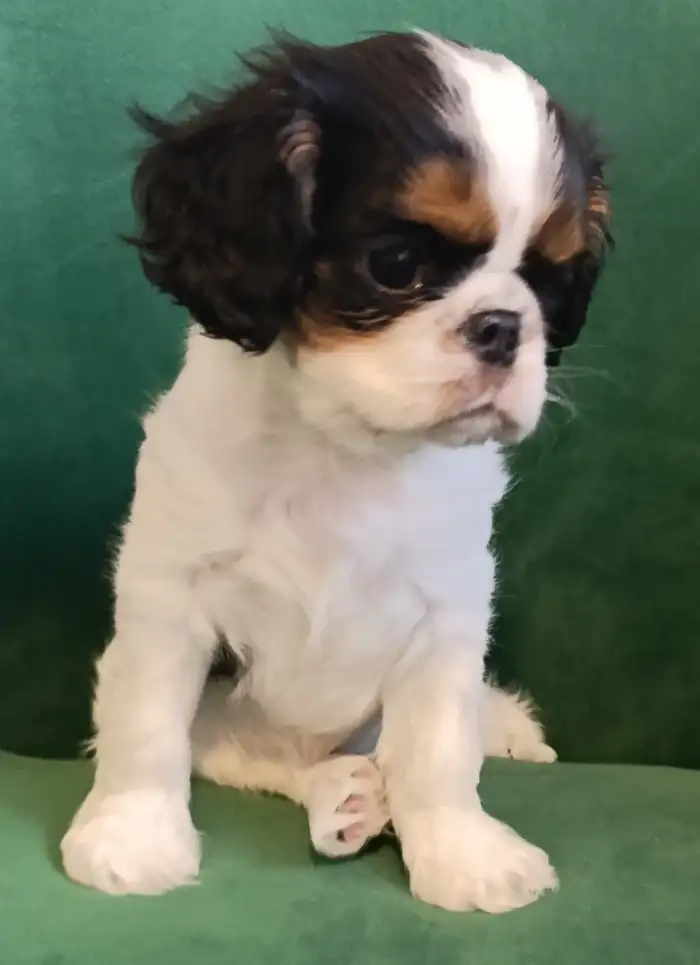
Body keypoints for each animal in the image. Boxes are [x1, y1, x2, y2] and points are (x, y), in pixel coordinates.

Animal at [61, 31, 610, 912]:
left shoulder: (449, 609)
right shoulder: (169, 591)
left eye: (550, 281)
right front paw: (134, 833)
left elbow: (437, 746)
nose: (503, 325)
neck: (348, 444)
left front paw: (461, 850)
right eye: (395, 263)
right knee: (256, 754)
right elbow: (145, 722)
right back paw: (344, 797)